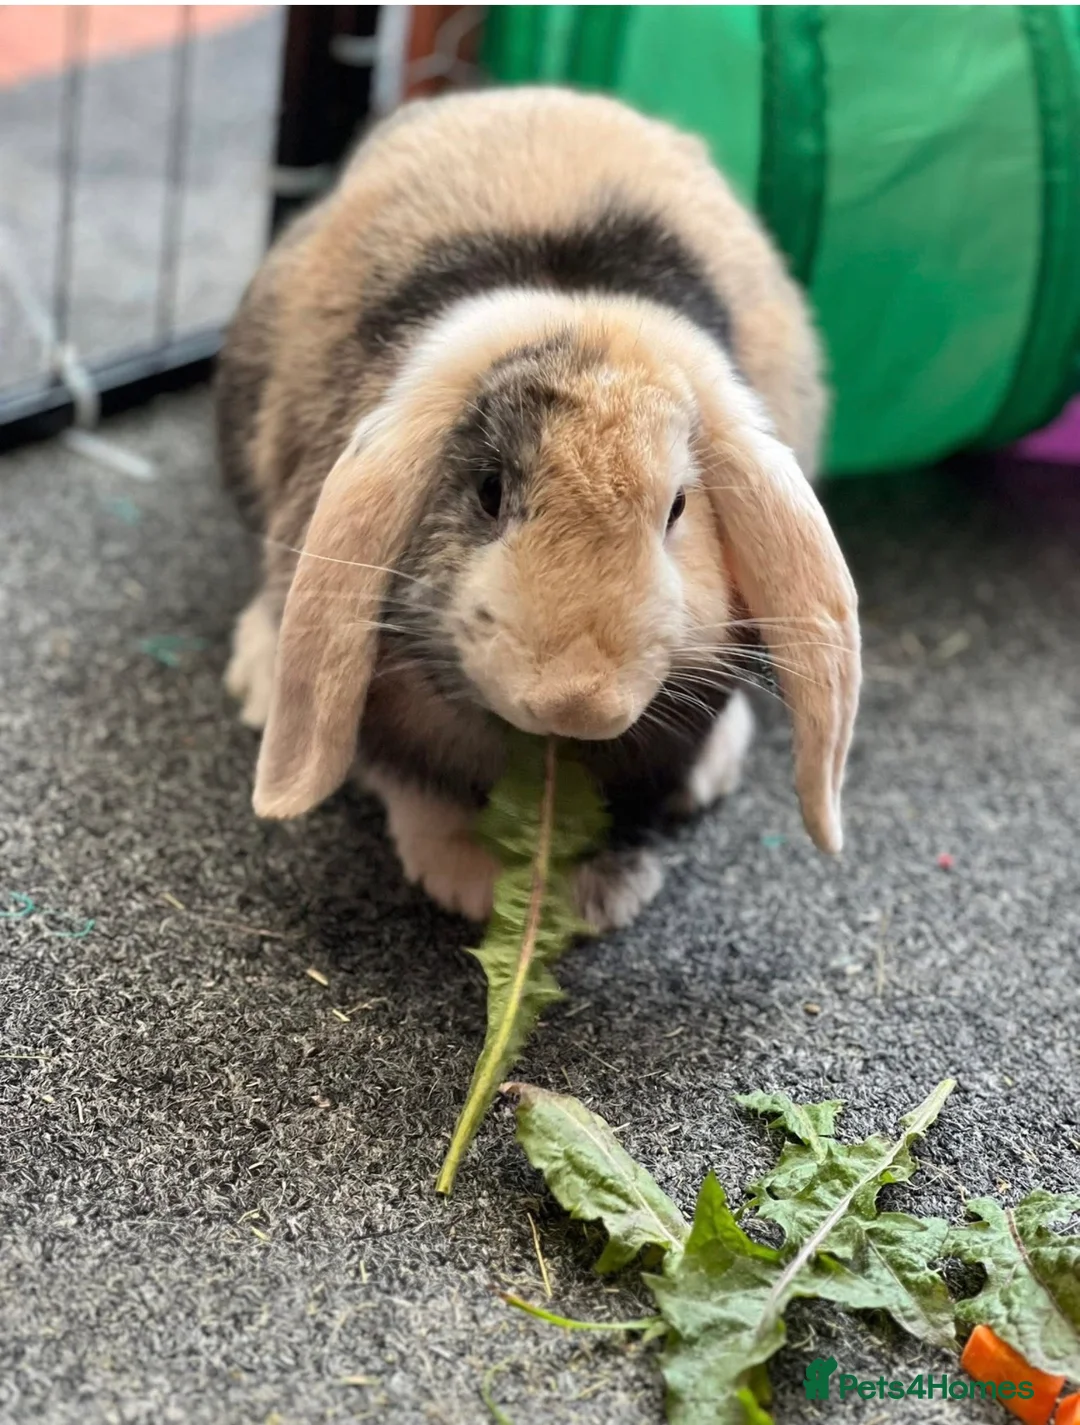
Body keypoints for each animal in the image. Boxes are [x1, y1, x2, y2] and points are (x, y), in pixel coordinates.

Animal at [216, 86, 861, 932]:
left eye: (678, 508)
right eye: (490, 491)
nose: (576, 699)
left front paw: (595, 891)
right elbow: (414, 785)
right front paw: (468, 879)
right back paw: (260, 678)